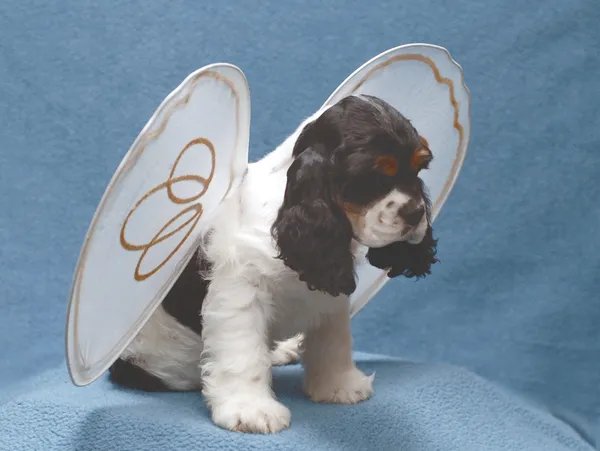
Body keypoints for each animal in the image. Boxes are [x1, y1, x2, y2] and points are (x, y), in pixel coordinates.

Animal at [109, 94, 436, 434]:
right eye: (371, 176)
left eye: (420, 167)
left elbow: (333, 341)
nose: (416, 213)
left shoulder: (329, 294)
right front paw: (251, 410)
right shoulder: (240, 292)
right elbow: (244, 354)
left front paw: (339, 386)